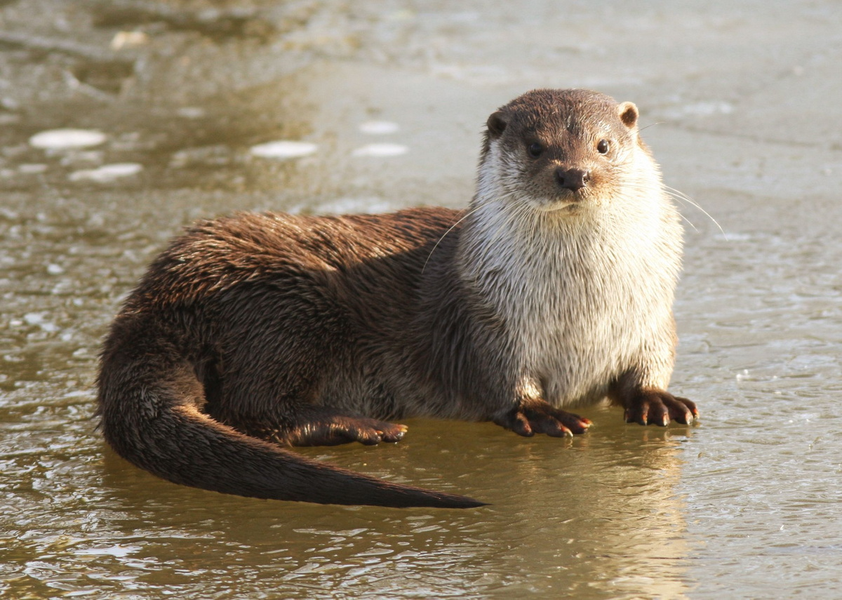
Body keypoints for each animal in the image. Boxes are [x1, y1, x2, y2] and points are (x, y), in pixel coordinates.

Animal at [95, 89, 696, 508]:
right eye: (534, 147)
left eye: (603, 145)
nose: (574, 174)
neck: (583, 313)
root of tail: (162, 287)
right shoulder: (486, 321)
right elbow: (502, 383)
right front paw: (540, 413)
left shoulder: (653, 315)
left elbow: (651, 361)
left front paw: (656, 400)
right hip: (285, 311)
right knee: (253, 407)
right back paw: (363, 427)